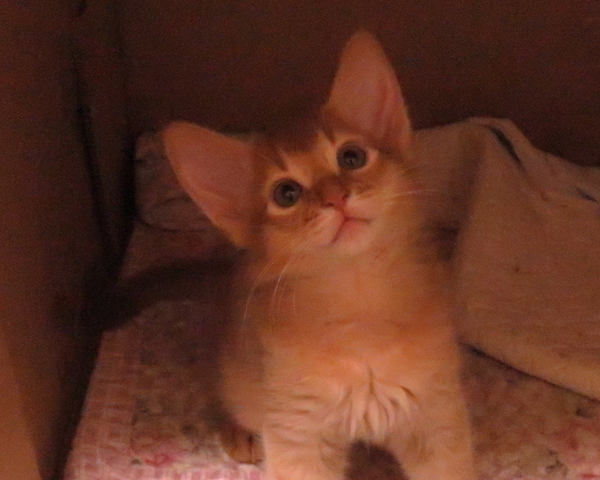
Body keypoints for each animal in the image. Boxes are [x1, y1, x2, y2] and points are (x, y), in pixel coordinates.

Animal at [162, 31, 475, 480]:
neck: (360, 313)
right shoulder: (297, 434)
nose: (336, 197)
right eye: (286, 194)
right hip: (245, 382)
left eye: (351, 157)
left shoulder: (437, 415)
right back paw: (238, 434)